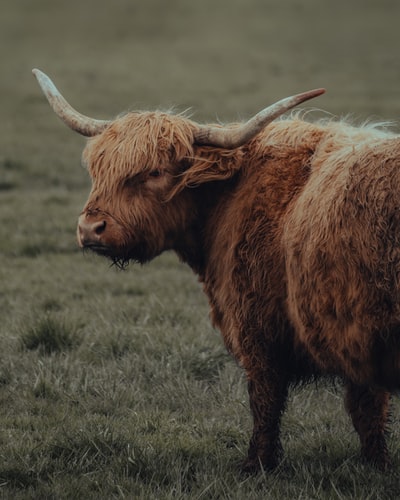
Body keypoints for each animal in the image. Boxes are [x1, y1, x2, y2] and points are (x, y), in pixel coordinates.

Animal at [32, 68, 400, 470]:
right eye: (98, 169)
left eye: (155, 172)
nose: (89, 229)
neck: (232, 195)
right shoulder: (357, 345)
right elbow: (368, 414)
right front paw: (376, 465)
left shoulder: (259, 330)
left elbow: (267, 405)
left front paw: (257, 466)